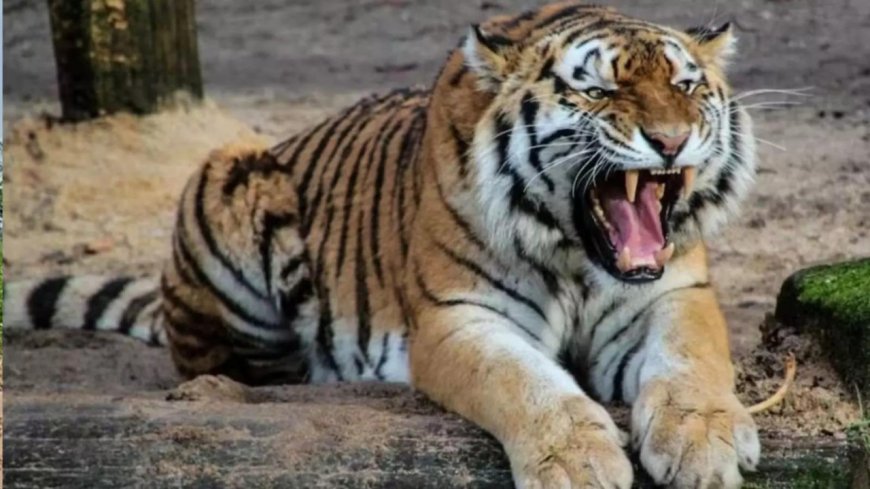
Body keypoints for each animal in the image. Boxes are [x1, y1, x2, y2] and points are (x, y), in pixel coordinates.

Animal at [6, 3, 762, 488]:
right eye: (599, 90)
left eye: (686, 85)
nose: (671, 140)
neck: (578, 255)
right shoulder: (458, 317)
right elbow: (525, 382)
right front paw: (579, 463)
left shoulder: (674, 293)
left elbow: (693, 361)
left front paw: (705, 440)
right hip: (230, 170)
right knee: (223, 364)